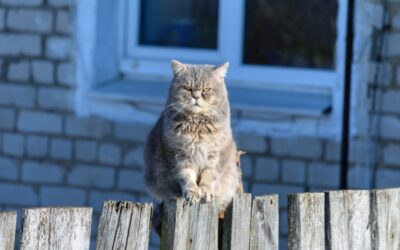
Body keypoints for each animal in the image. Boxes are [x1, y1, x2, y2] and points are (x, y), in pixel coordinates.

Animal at [145, 59, 242, 214]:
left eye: (206, 89)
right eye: (187, 88)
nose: (196, 96)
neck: (197, 124)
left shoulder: (215, 155)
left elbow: (209, 176)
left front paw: (205, 191)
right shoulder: (178, 155)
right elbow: (186, 176)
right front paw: (192, 192)